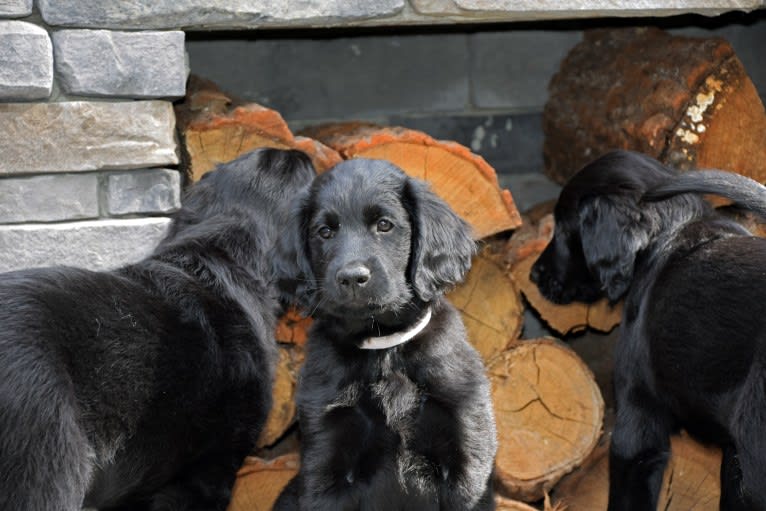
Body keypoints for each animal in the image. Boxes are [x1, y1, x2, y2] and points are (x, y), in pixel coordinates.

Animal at [274, 158, 498, 510]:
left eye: (384, 225)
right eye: (325, 232)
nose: (352, 277)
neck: (385, 350)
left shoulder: (467, 461)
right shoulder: (325, 462)